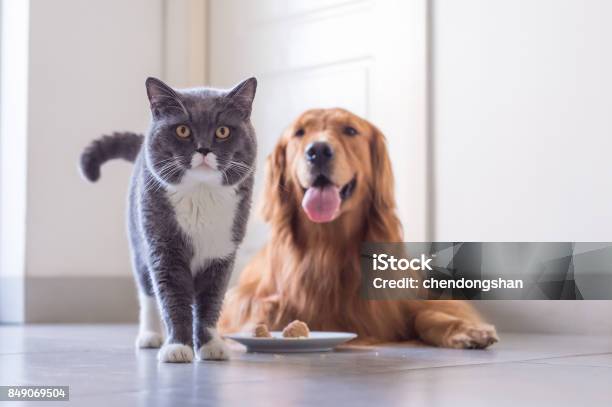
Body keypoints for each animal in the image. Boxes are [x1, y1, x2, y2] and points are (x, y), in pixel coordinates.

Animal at [79, 76, 256, 364]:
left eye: (223, 131)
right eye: (182, 130)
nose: (203, 148)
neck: (201, 195)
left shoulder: (222, 253)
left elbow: (211, 301)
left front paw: (210, 345)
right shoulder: (164, 248)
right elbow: (172, 298)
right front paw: (177, 347)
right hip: (138, 240)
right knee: (147, 292)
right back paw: (150, 335)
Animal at [220, 109, 498, 350]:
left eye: (350, 130)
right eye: (299, 132)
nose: (318, 151)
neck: (326, 247)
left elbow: (430, 312)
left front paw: (466, 330)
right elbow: (263, 310)